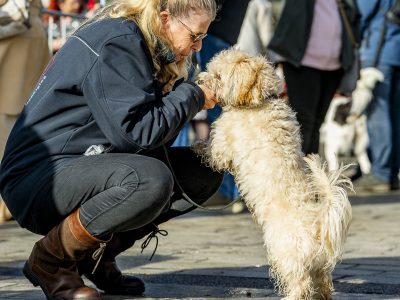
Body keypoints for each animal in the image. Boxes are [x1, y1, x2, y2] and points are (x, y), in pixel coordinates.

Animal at [194, 49, 354, 300]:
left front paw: (197, 146)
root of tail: (319, 223)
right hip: (318, 266)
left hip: (284, 252)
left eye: (218, 76)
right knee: (322, 283)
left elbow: (213, 151)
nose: (199, 81)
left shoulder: (223, 143)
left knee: (300, 285)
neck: (258, 101)